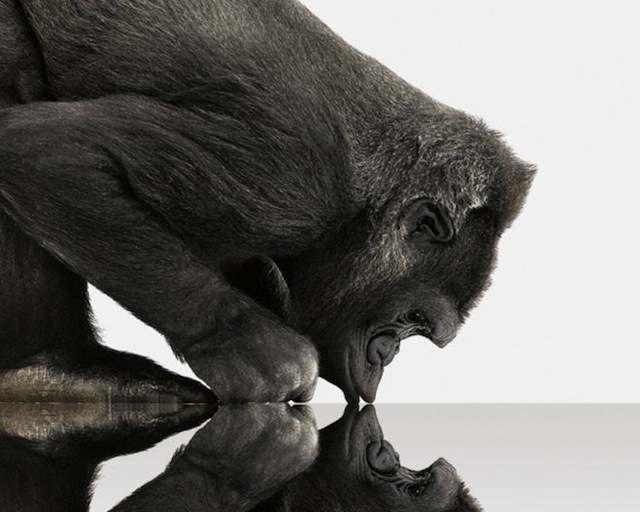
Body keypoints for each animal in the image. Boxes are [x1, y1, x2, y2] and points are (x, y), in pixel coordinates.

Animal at [0, 0, 535, 404]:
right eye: (413, 321)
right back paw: (59, 367)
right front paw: (254, 354)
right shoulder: (293, 180)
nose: (385, 357)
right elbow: (49, 157)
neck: (364, 199)